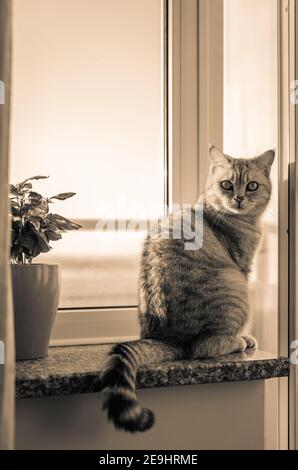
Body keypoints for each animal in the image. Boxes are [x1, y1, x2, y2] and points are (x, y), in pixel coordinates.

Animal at [100, 144, 274, 434]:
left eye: (252, 186)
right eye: (226, 185)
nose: (238, 198)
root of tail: (166, 336)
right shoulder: (242, 268)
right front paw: (245, 337)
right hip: (235, 288)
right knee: (205, 347)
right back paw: (238, 341)